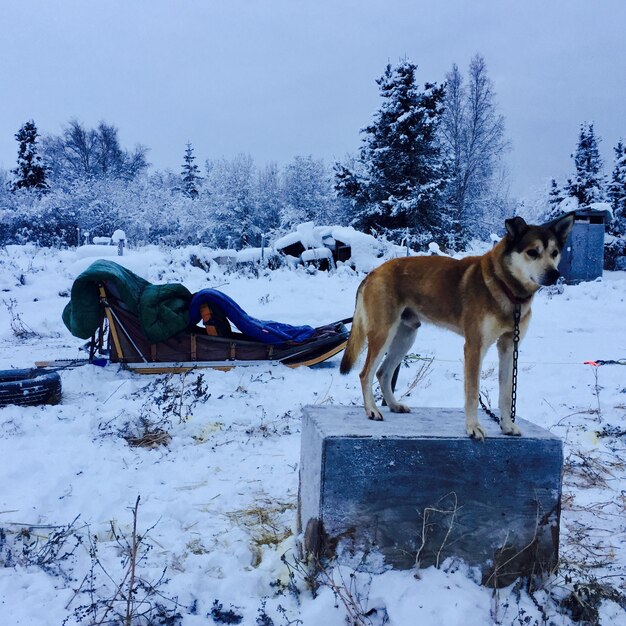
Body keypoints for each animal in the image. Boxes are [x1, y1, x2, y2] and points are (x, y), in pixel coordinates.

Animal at [338, 212, 572, 436]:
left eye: (554, 253)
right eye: (532, 252)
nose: (554, 274)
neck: (507, 289)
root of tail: (373, 272)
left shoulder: (508, 347)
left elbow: (506, 394)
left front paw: (507, 425)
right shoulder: (475, 347)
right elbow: (473, 392)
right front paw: (473, 427)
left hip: (405, 338)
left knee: (383, 373)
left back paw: (394, 405)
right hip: (383, 334)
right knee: (365, 373)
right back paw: (372, 410)